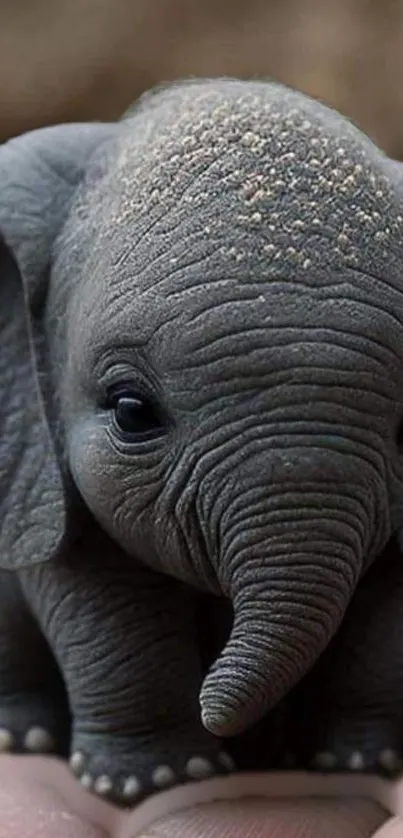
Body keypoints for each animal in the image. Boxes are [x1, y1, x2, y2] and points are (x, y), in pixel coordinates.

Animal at [0, 79, 403, 808]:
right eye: (131, 411)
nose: (224, 723)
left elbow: (387, 610)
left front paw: (355, 763)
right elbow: (103, 602)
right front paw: (155, 781)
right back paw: (27, 740)